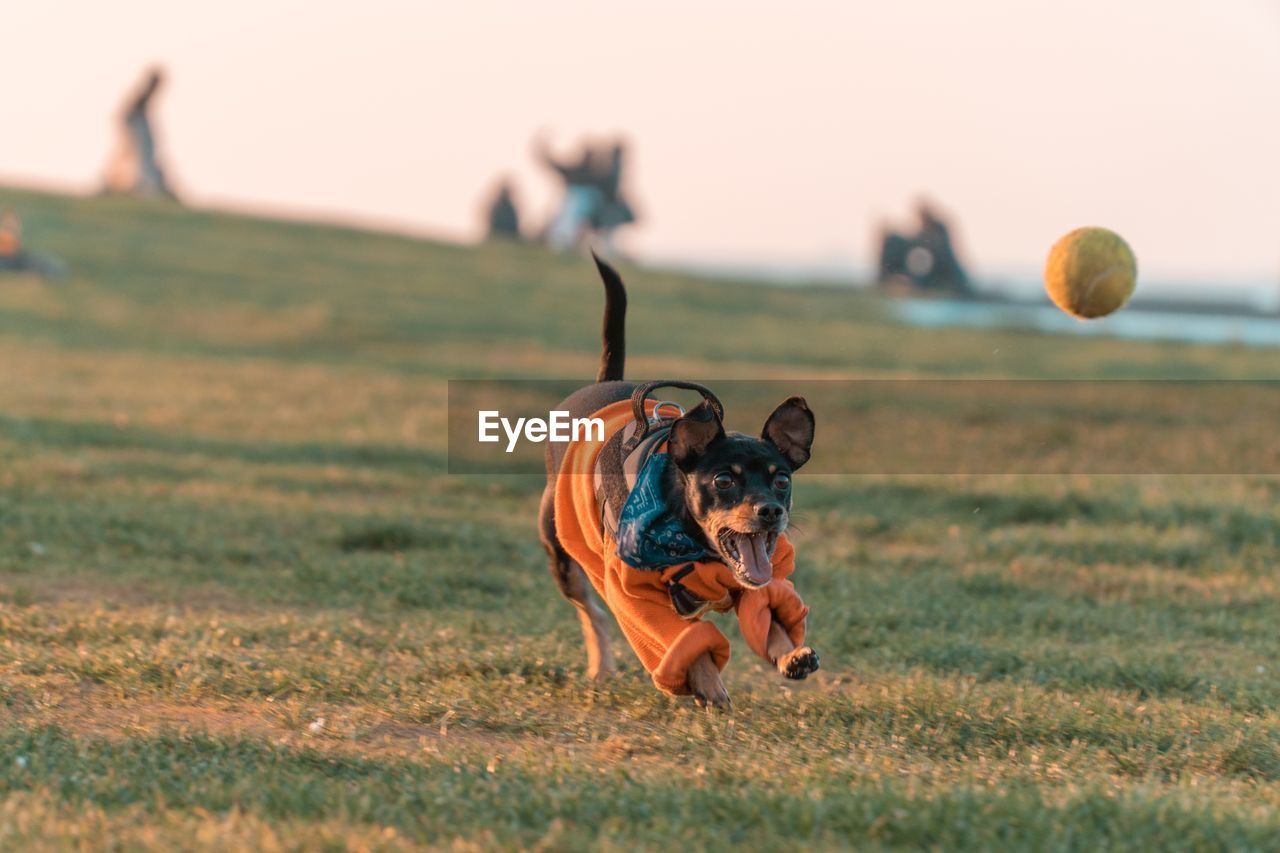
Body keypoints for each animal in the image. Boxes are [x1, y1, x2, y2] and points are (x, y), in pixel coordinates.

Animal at [540, 257, 819, 701]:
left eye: (782, 482)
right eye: (723, 481)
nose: (771, 511)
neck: (697, 545)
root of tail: (602, 384)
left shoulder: (751, 581)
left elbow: (770, 619)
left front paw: (791, 654)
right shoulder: (634, 595)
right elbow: (682, 643)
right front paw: (708, 684)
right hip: (561, 552)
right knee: (592, 613)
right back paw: (602, 667)